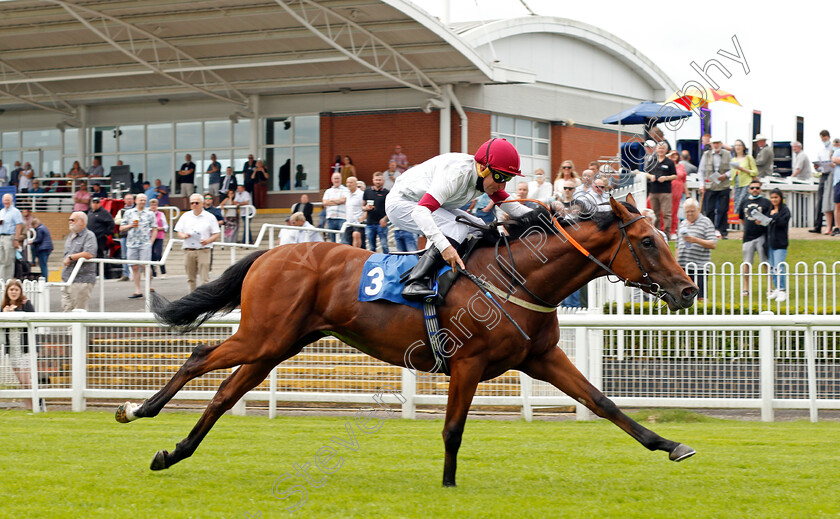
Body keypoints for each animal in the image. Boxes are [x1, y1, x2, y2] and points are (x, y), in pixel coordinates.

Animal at [116, 195, 696, 488]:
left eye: (662, 236)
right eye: (647, 241)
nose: (688, 289)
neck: (514, 277)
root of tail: (273, 252)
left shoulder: (542, 357)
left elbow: (602, 402)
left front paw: (671, 445)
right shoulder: (468, 363)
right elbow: (453, 430)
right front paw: (448, 486)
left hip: (277, 345)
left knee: (224, 393)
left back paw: (173, 452)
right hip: (264, 336)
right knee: (199, 358)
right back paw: (136, 410)